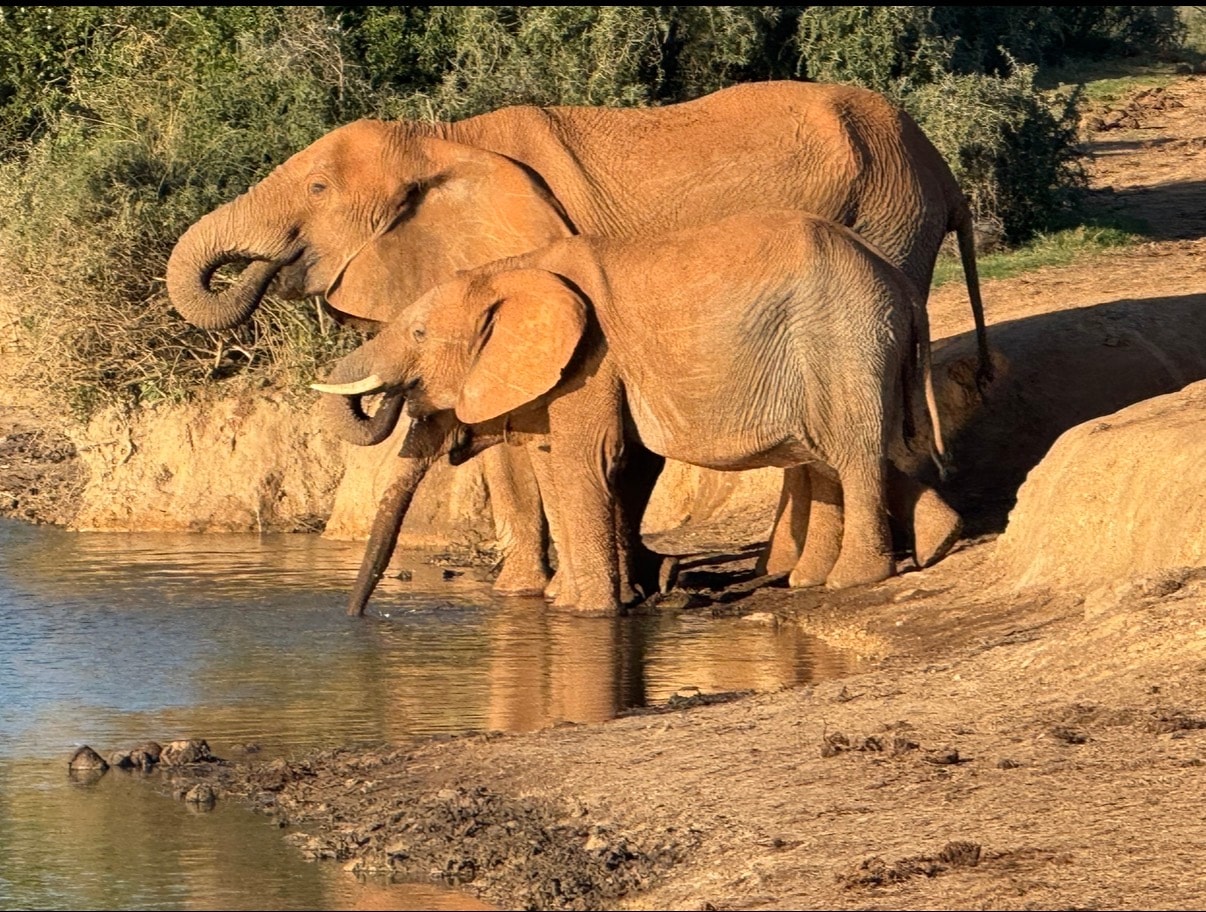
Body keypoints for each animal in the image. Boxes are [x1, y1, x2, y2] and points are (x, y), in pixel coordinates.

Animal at [311, 208, 962, 617]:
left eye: (419, 333)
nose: (354, 621)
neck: (510, 270)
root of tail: (903, 287)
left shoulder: (593, 356)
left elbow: (585, 462)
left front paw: (587, 613)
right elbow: (559, 461)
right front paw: (583, 602)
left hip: (845, 338)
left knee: (852, 452)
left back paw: (858, 578)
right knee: (827, 453)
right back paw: (915, 548)